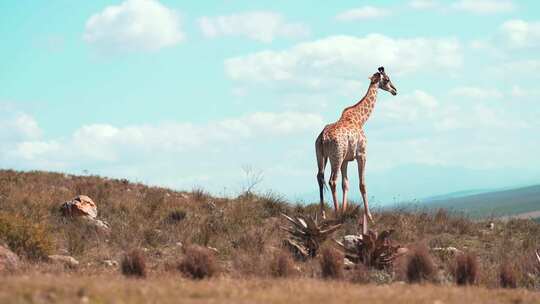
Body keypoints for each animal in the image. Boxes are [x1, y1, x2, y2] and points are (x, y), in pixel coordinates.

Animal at [316, 66, 396, 228]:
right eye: (387, 79)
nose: (395, 90)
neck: (360, 120)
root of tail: (323, 137)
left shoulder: (346, 160)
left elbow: (345, 184)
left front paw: (345, 211)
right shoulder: (362, 154)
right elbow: (362, 184)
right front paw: (369, 218)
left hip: (321, 156)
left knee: (320, 177)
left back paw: (323, 215)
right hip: (336, 156)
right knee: (332, 180)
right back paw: (336, 214)